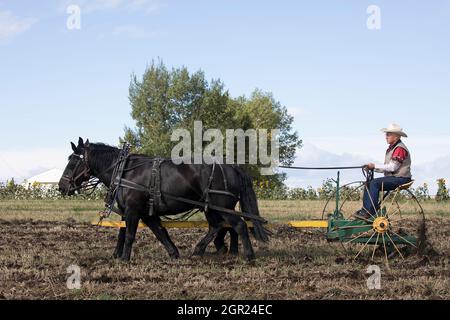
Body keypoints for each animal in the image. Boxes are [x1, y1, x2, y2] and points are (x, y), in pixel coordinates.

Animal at [58, 139, 268, 262]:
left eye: (73, 161)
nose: (61, 186)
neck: (124, 171)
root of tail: (233, 167)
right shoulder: (143, 213)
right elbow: (158, 232)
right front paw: (173, 253)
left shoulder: (133, 210)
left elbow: (130, 235)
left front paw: (124, 259)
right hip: (211, 208)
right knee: (217, 227)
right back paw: (200, 250)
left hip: (222, 206)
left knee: (239, 225)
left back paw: (248, 257)